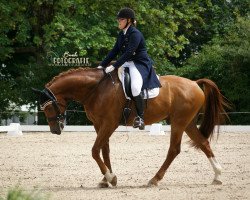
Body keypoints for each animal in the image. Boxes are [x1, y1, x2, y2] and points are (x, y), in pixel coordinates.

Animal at [32, 67, 229, 188]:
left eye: (48, 107)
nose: (55, 130)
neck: (96, 89)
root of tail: (195, 83)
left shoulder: (109, 123)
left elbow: (95, 151)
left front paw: (110, 178)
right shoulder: (99, 124)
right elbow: (105, 151)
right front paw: (106, 179)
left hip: (179, 122)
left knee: (174, 149)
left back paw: (154, 179)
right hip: (187, 122)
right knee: (203, 143)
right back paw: (217, 176)